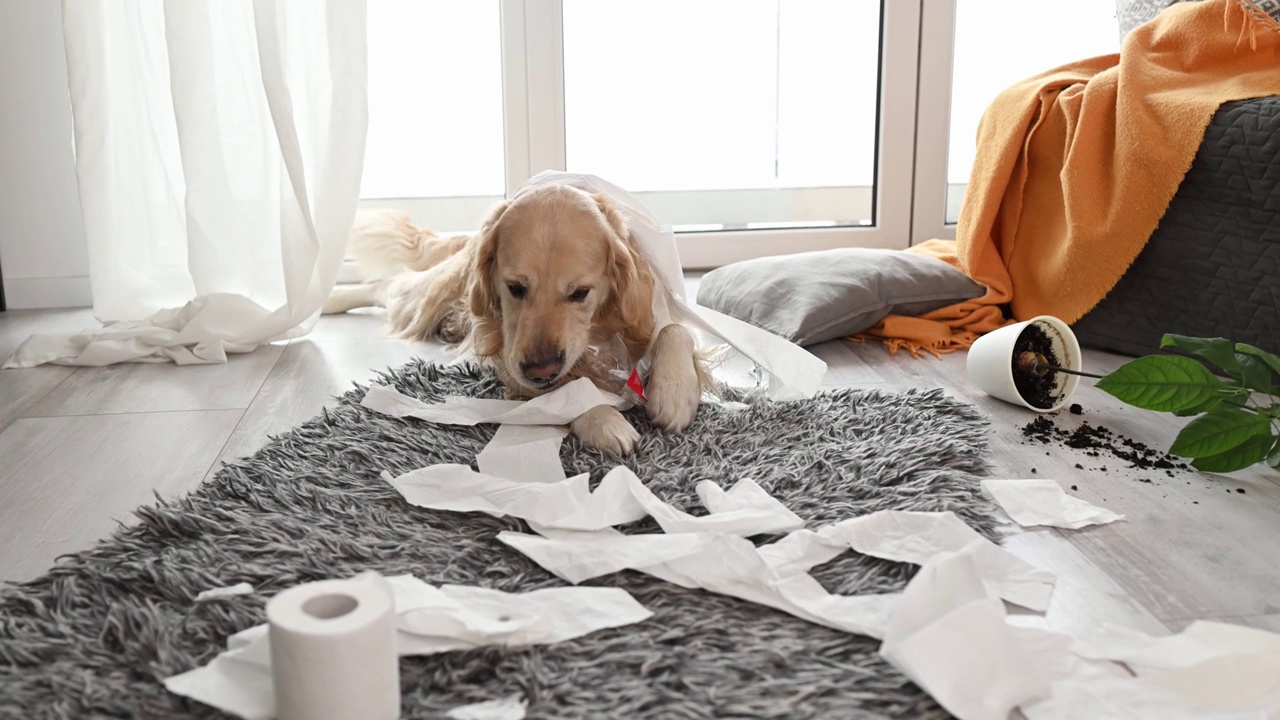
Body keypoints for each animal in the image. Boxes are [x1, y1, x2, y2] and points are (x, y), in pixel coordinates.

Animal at [320, 184, 701, 453]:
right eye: (515, 287)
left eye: (580, 293)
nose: (541, 369)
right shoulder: (509, 359)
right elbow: (565, 388)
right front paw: (602, 419)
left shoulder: (645, 312)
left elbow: (676, 329)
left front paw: (675, 393)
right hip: (428, 296)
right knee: (387, 286)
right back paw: (331, 301)